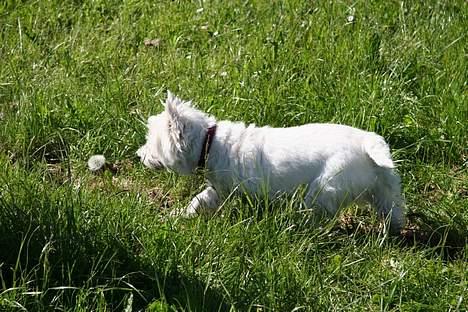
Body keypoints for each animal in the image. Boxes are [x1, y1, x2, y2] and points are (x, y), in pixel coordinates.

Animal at [136, 91, 406, 233]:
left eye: (151, 141)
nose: (139, 155)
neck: (209, 142)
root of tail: (367, 142)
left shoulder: (230, 187)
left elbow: (203, 200)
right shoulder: (219, 189)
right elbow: (199, 201)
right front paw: (180, 214)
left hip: (326, 187)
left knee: (317, 214)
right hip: (384, 186)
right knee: (393, 210)